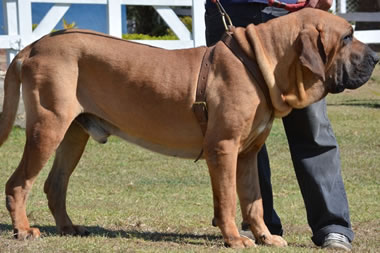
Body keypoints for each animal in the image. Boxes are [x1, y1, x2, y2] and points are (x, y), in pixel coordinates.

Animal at [0, 8, 378, 249]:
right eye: (347, 37)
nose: (376, 57)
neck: (261, 63)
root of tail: (32, 46)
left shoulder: (248, 154)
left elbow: (253, 201)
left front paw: (265, 237)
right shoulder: (223, 148)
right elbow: (227, 200)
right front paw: (235, 238)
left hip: (73, 134)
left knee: (54, 185)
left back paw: (68, 227)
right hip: (47, 126)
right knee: (18, 183)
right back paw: (24, 230)